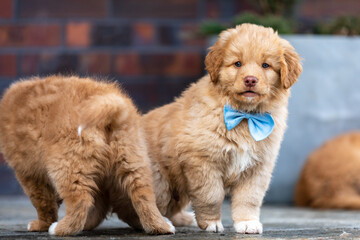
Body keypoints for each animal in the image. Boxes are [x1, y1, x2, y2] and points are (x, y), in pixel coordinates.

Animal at [0, 76, 174, 236]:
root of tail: (111, 106)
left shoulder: (28, 173)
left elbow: (42, 202)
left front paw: (42, 225)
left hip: (66, 166)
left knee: (80, 201)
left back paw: (60, 229)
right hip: (133, 162)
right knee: (143, 196)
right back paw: (160, 227)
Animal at [136, 23, 302, 233]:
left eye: (265, 65)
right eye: (237, 64)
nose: (250, 80)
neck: (244, 116)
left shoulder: (258, 167)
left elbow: (249, 198)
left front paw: (247, 222)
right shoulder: (202, 161)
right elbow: (211, 195)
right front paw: (211, 223)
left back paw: (183, 218)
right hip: (159, 181)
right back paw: (162, 223)